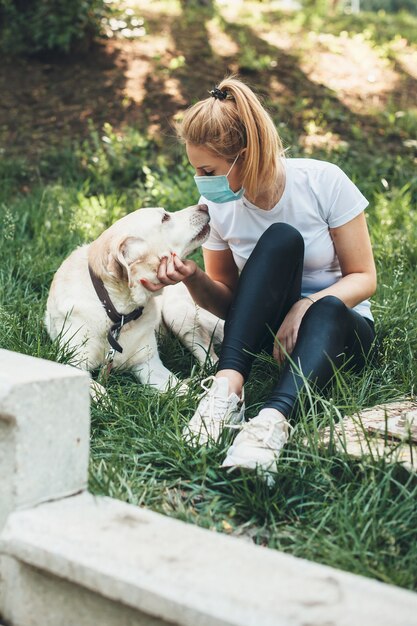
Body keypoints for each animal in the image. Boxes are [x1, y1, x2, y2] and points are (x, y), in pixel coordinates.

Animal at [44, 202, 221, 392]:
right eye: (165, 217)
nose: (204, 206)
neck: (118, 311)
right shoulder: (72, 364)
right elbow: (101, 391)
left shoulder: (149, 364)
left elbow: (181, 391)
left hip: (177, 313)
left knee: (211, 360)